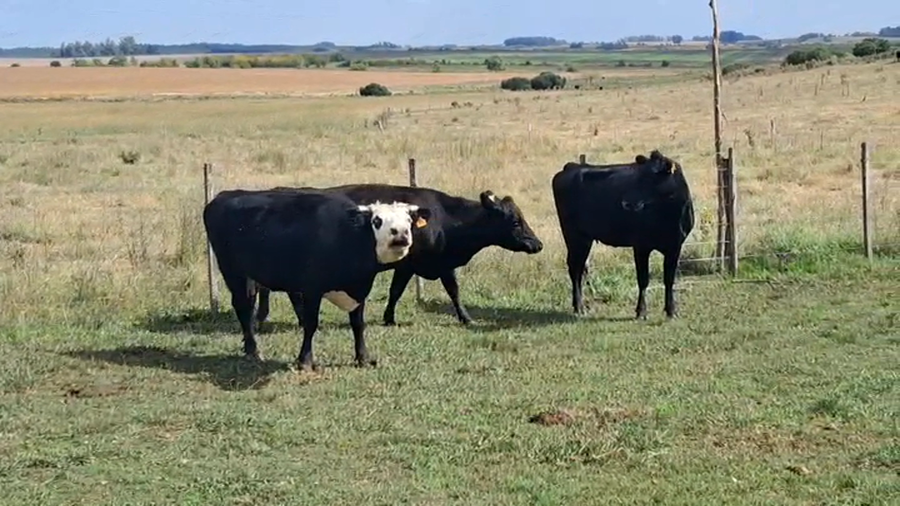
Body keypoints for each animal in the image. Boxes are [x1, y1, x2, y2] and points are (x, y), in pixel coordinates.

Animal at [202, 187, 433, 370]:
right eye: (377, 221)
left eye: (409, 221)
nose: (400, 234)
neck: (349, 234)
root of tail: (225, 195)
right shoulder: (312, 289)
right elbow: (311, 323)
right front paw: (305, 360)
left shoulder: (360, 288)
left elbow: (358, 324)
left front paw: (363, 358)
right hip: (232, 270)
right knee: (242, 306)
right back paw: (253, 350)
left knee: (249, 305)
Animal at [253, 184, 544, 327]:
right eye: (515, 221)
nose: (537, 244)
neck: (446, 218)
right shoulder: (410, 265)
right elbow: (401, 291)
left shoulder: (437, 265)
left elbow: (451, 290)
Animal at [551, 149, 694, 319]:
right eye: (638, 177)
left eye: (653, 178)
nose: (626, 202)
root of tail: (572, 166)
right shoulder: (641, 245)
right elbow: (643, 279)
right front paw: (641, 311)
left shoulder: (675, 245)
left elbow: (669, 279)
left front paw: (671, 310)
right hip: (574, 236)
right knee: (575, 269)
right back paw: (579, 307)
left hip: (584, 238)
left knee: (579, 268)